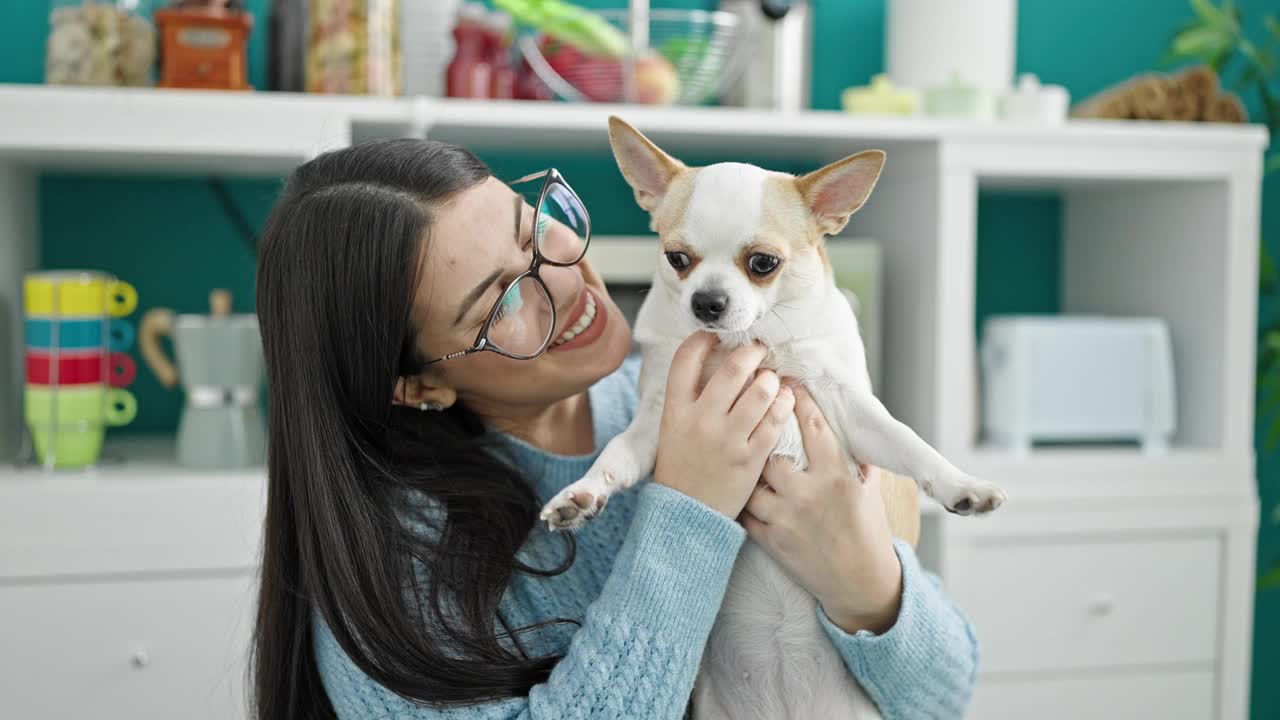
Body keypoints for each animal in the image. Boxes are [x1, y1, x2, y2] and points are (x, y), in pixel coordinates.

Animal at [537, 114, 998, 712]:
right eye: (677, 259)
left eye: (763, 264)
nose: (706, 302)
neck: (746, 343)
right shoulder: (658, 423)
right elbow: (616, 454)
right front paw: (581, 496)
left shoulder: (852, 413)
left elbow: (909, 441)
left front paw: (962, 485)